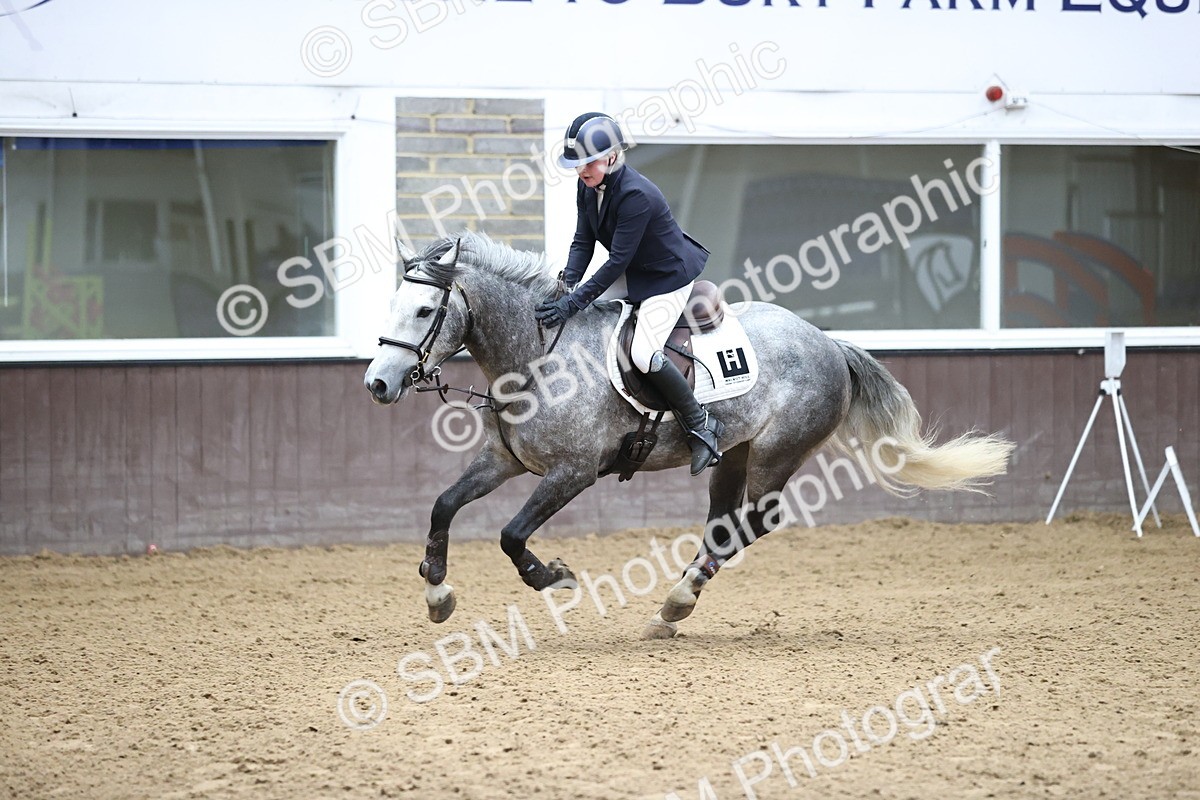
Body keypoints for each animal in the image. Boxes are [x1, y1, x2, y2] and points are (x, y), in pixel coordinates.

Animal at [364, 231, 1015, 639]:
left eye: (424, 312)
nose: (377, 383)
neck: (537, 355)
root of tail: (829, 342)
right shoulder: (505, 459)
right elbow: (443, 505)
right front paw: (437, 593)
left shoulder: (573, 472)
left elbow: (511, 535)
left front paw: (554, 576)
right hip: (735, 454)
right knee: (723, 525)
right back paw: (676, 603)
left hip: (776, 454)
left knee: (754, 522)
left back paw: (677, 600)